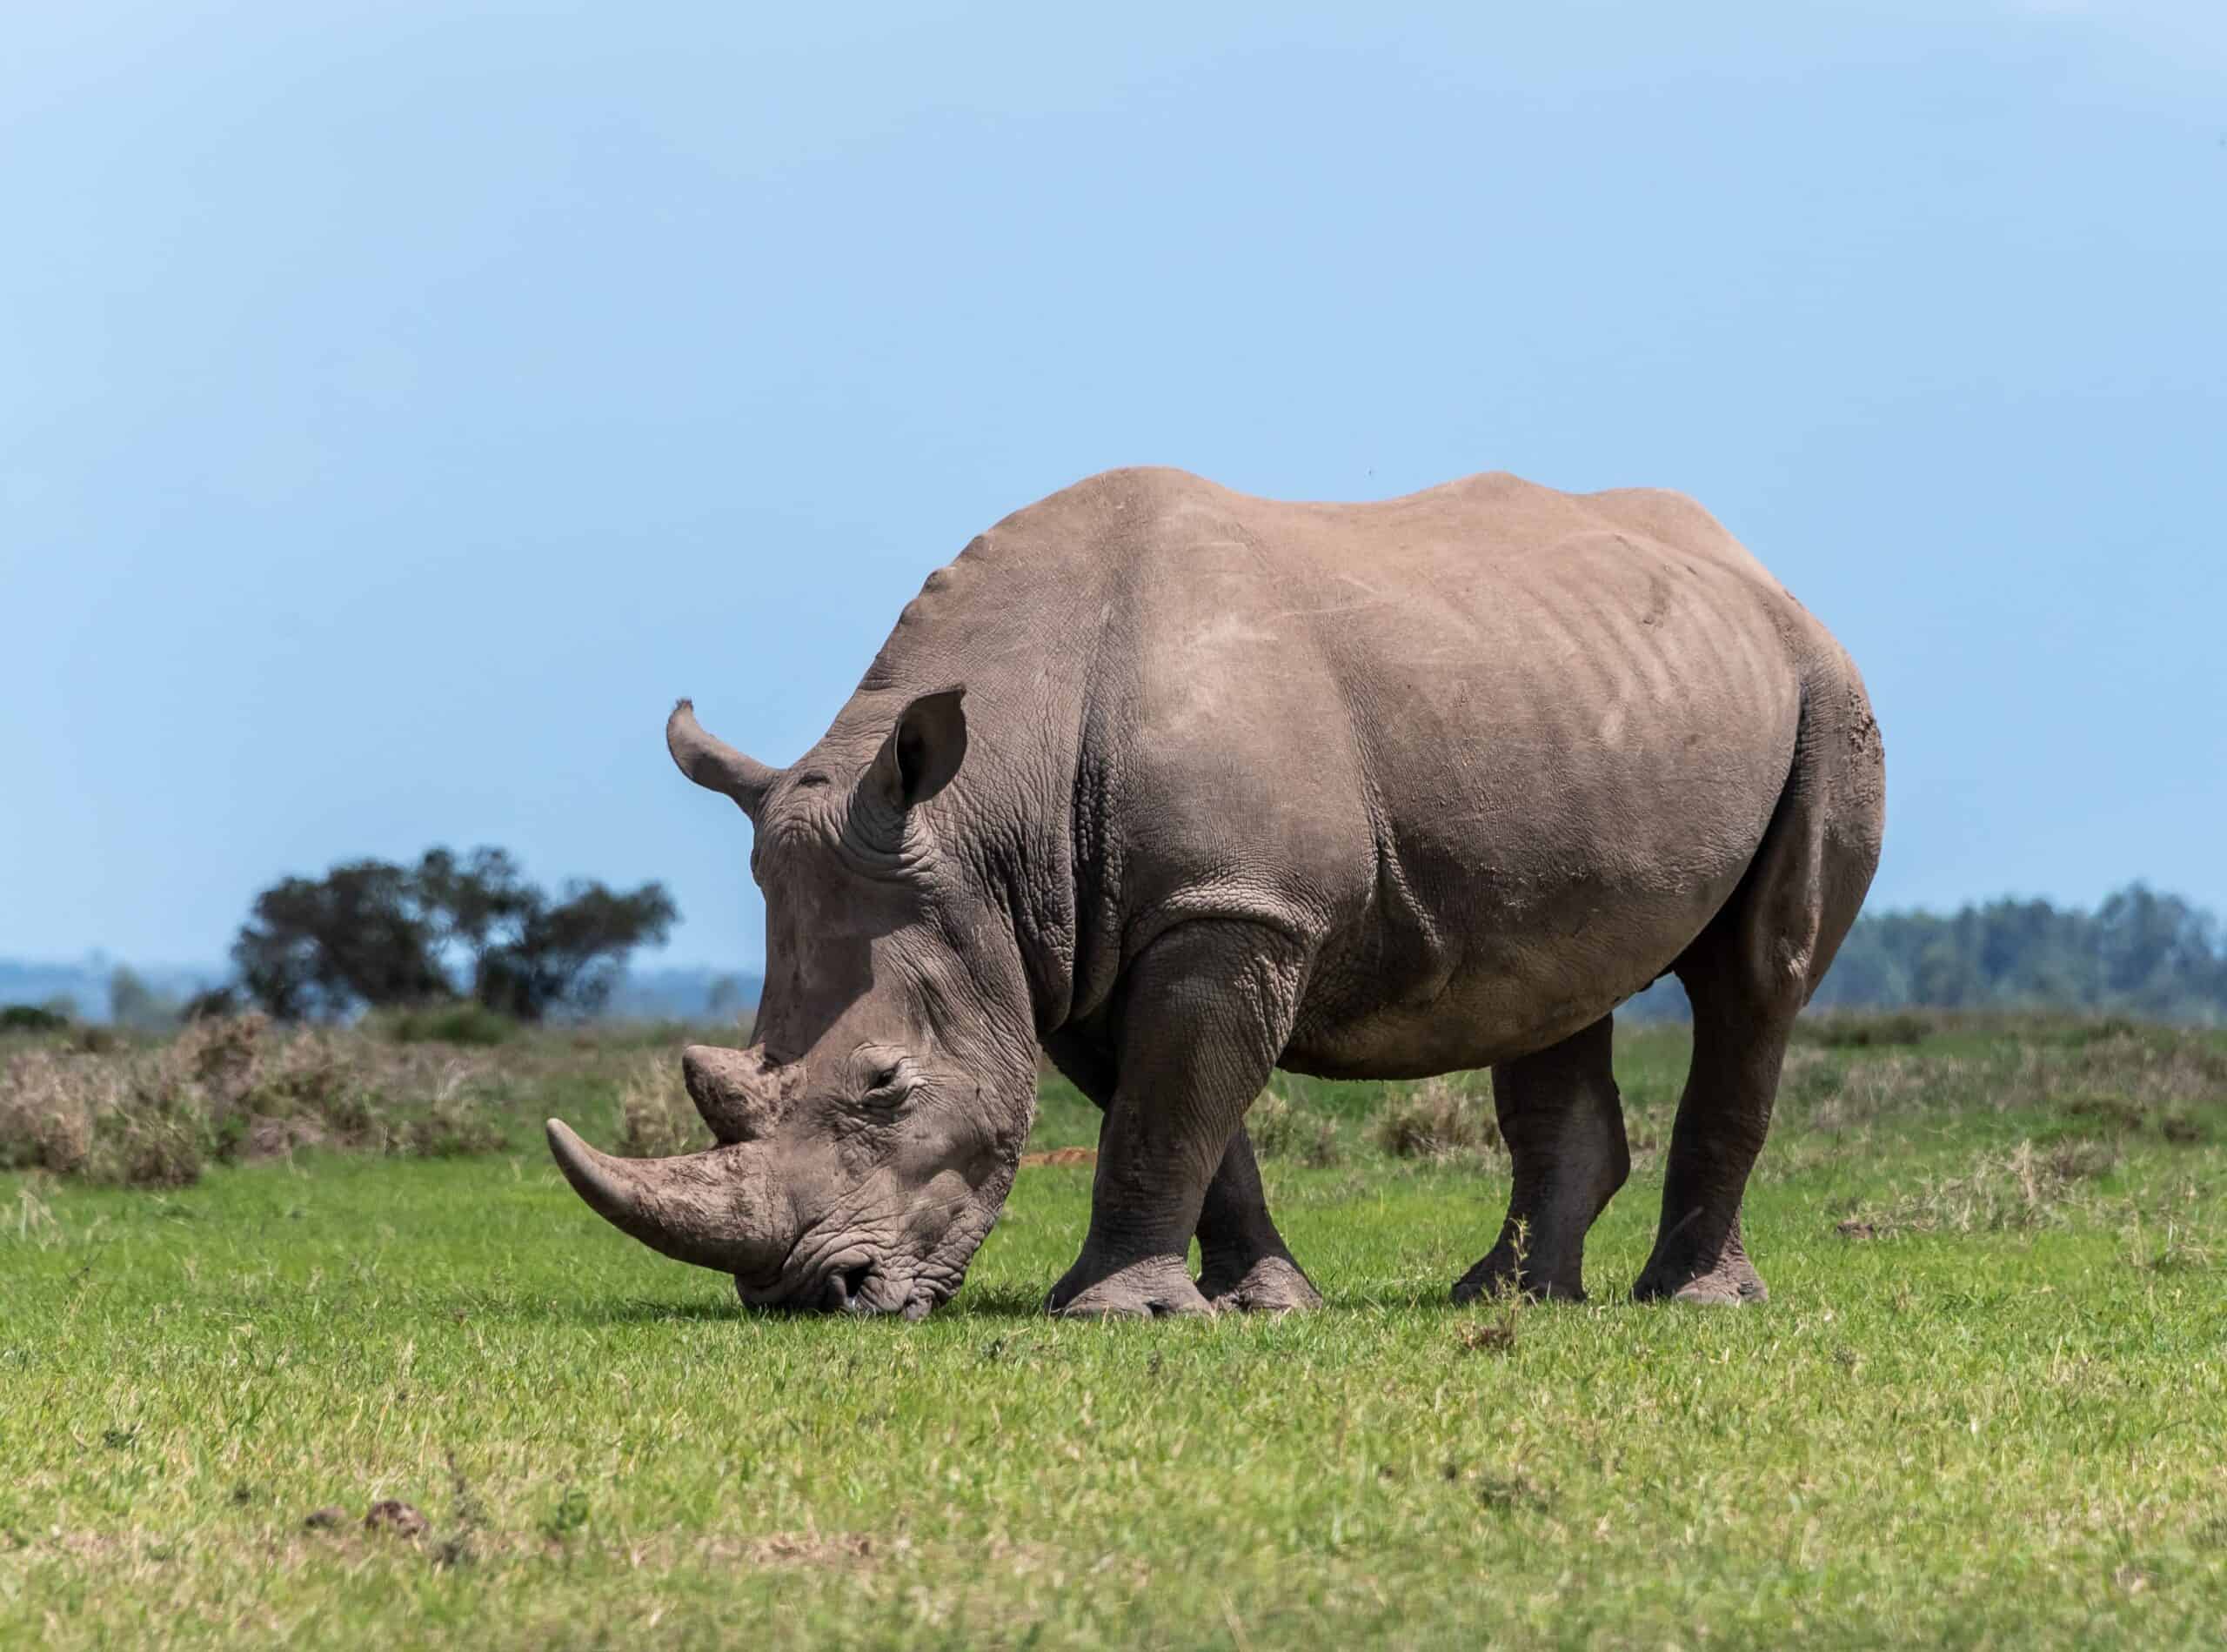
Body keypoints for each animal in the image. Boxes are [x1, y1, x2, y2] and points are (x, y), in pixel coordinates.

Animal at [548, 467, 1884, 1318]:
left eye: (886, 1087)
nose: (804, 1295)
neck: (986, 813)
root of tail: (1758, 571)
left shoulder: (1228, 905)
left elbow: (1168, 1108)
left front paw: (1114, 1312)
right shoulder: (1084, 932)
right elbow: (1184, 1115)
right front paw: (1260, 1303)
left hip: (1824, 690)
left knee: (1757, 976)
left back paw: (1693, 1304)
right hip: (1578, 691)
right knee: (1554, 984)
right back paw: (1508, 1299)